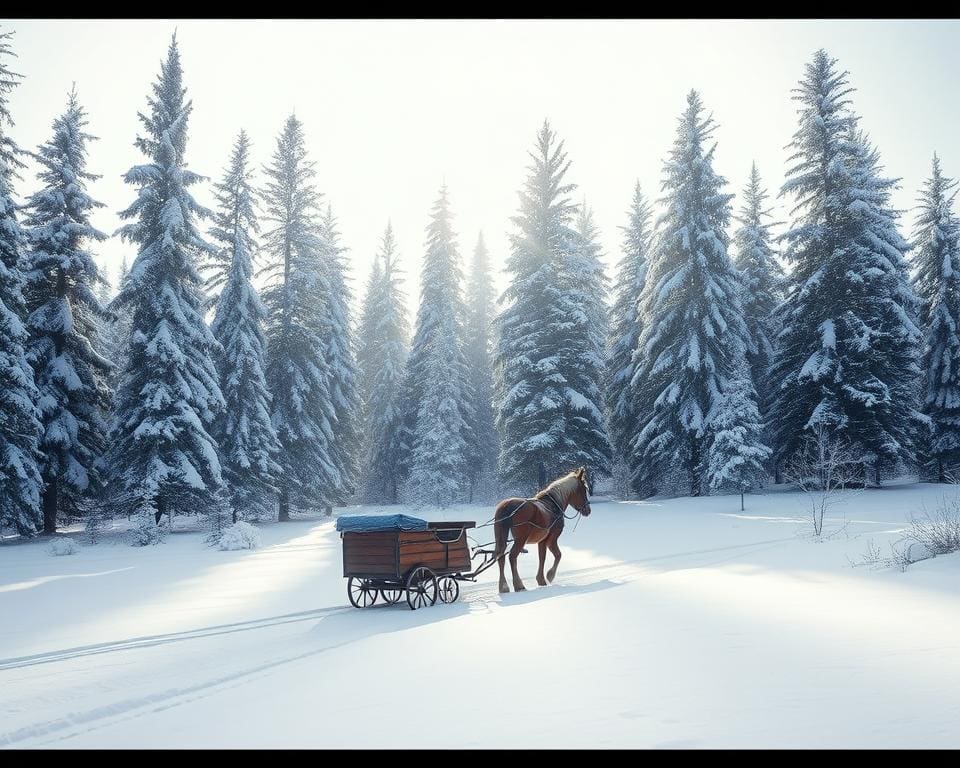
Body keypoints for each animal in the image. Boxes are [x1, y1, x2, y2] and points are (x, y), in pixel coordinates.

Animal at [496, 462, 592, 592]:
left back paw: (503, 587)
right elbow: (558, 555)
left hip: (501, 537)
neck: (554, 505)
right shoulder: (551, 539)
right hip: (520, 539)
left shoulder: (542, 541)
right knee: (512, 556)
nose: (588, 510)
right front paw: (549, 576)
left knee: (500, 556)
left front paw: (541, 580)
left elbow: (542, 558)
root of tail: (507, 505)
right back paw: (518, 585)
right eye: (583, 490)